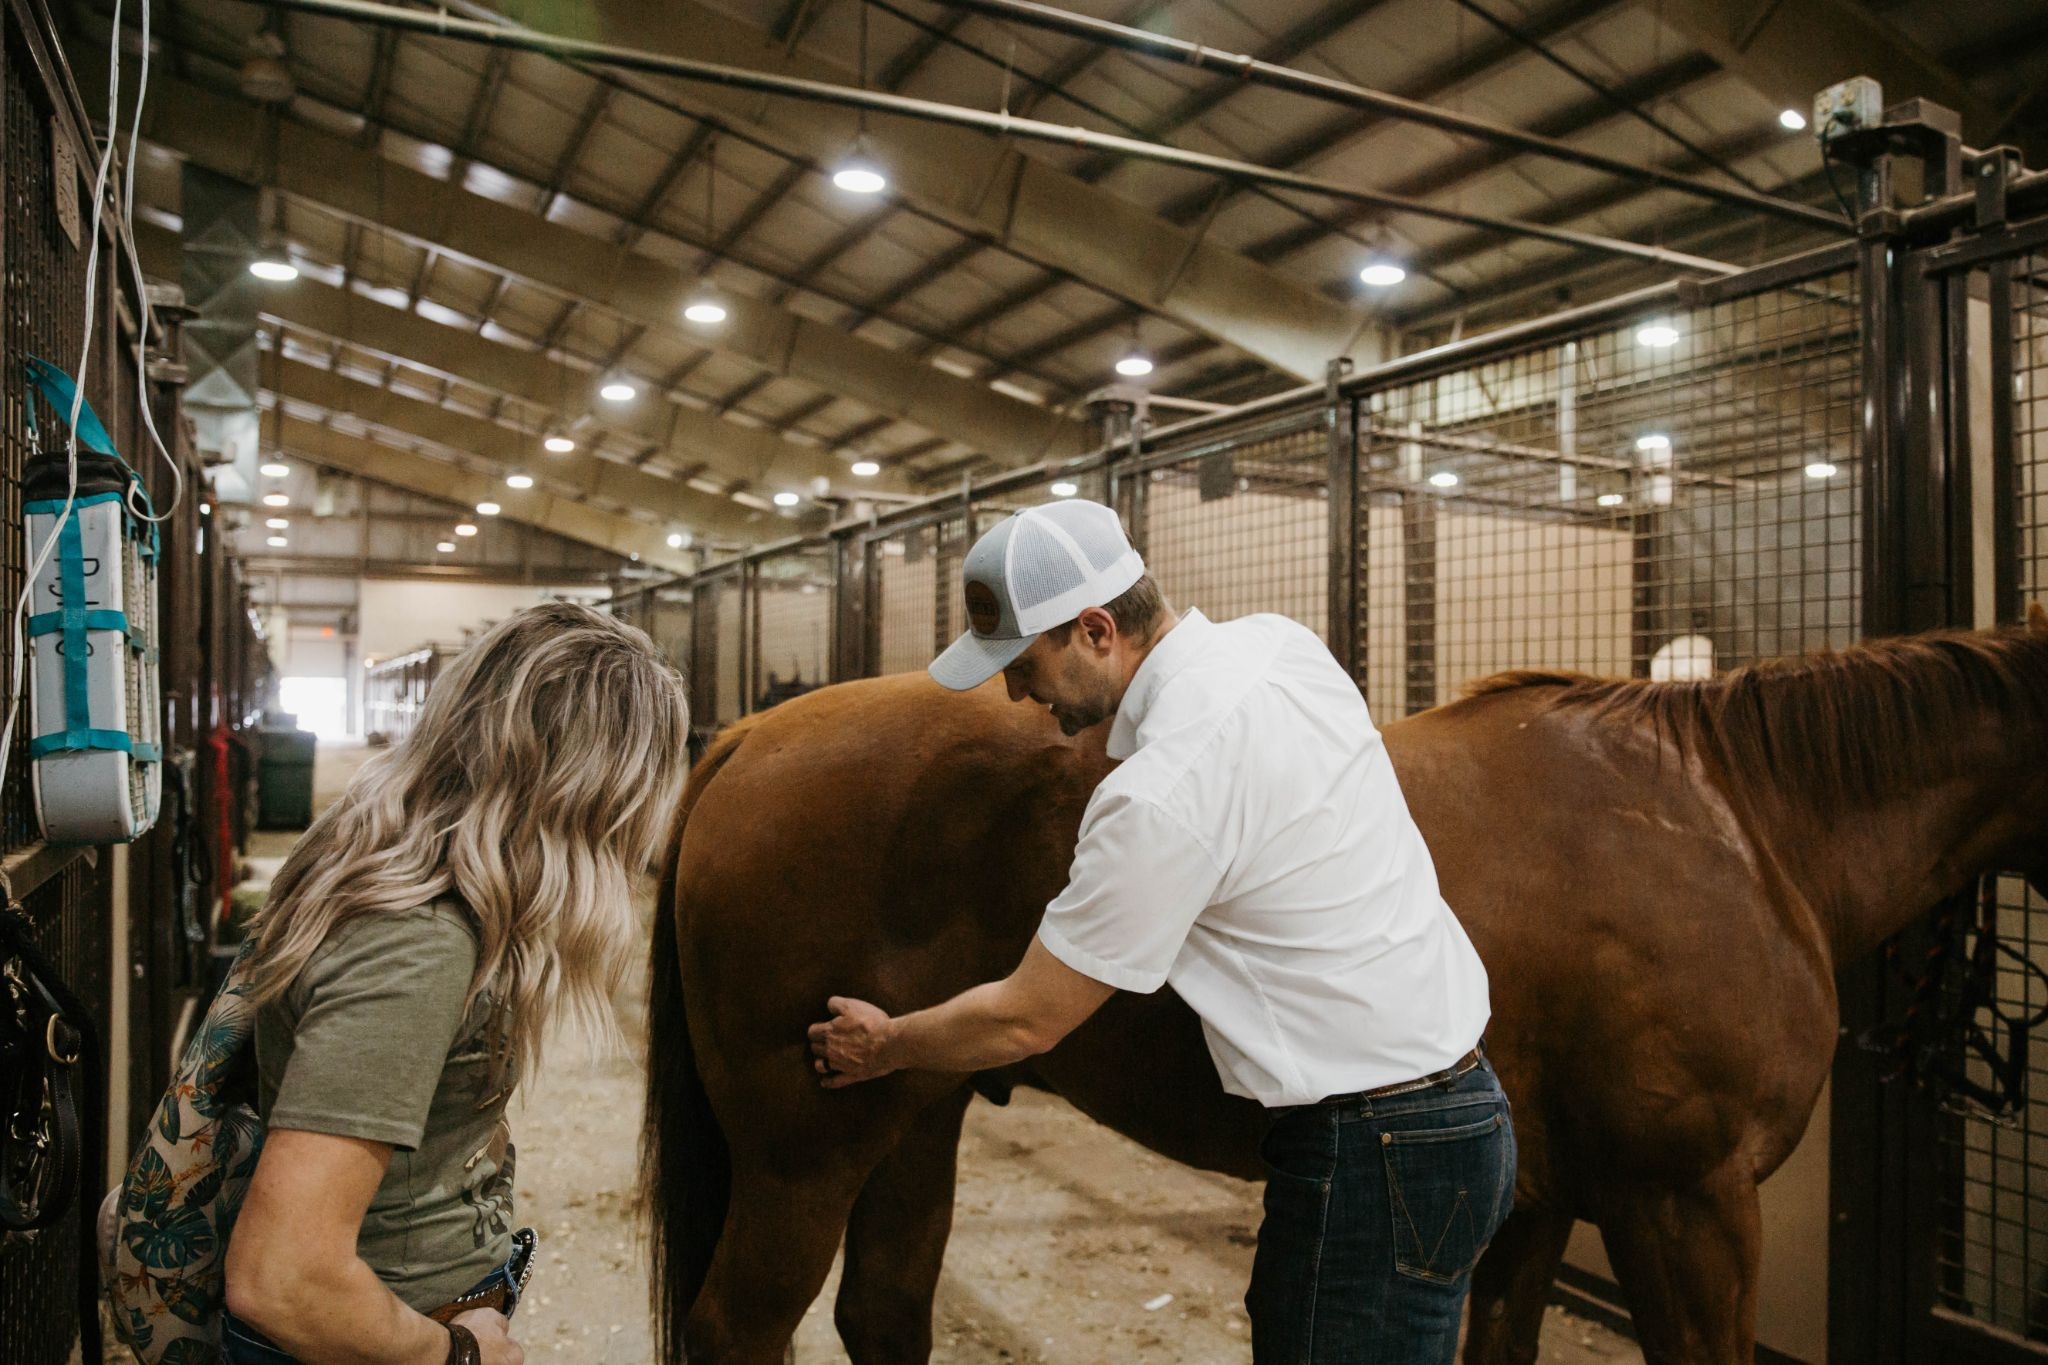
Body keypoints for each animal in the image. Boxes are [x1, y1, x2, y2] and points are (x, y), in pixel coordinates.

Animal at [638, 613, 2048, 1358]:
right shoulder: (1682, 1204)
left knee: (883, 1311)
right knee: (738, 1325)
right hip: (804, 1152)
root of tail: (748, 734)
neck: (1734, 824)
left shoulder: (1532, 1206)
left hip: (917, 1112)